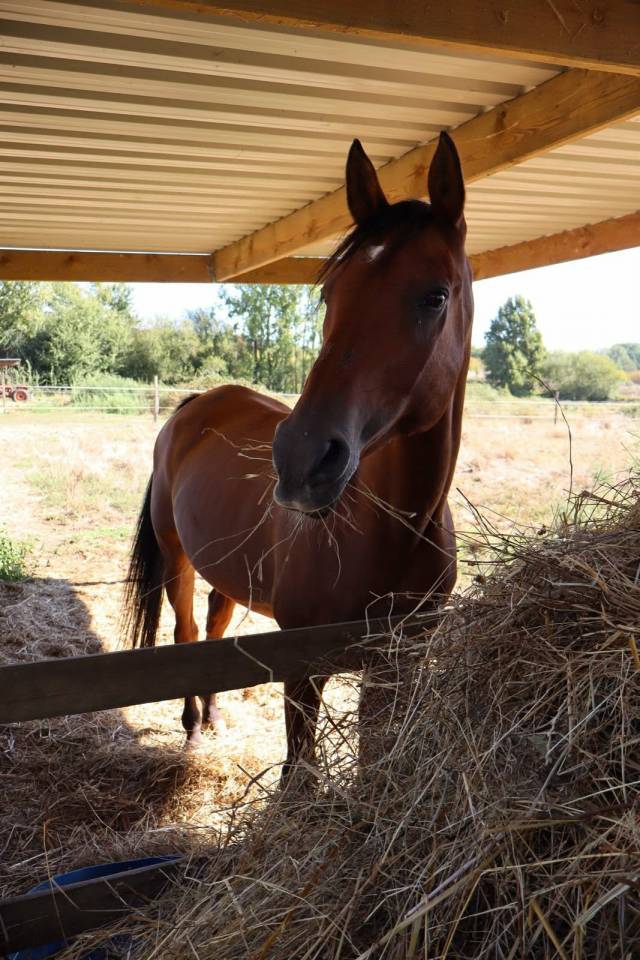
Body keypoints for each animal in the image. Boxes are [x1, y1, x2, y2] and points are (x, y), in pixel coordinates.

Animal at [123, 131, 473, 781]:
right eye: (332, 291)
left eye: (435, 296)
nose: (302, 459)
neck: (389, 532)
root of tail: (196, 405)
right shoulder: (302, 670)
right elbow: (299, 775)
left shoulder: (400, 661)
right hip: (178, 557)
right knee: (187, 632)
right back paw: (193, 729)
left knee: (216, 627)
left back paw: (214, 715)